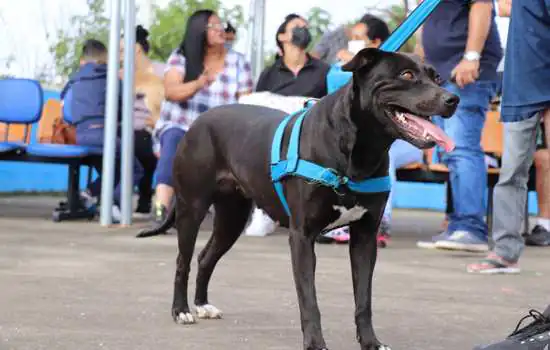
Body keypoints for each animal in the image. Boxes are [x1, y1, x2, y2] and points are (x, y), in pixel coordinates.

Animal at [139, 49, 462, 350]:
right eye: (406, 75)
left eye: (436, 77)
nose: (453, 99)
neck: (359, 149)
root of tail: (199, 120)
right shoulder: (302, 236)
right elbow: (309, 300)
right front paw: (316, 343)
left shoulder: (365, 237)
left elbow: (364, 300)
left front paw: (370, 342)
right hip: (192, 208)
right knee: (183, 261)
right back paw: (181, 310)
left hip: (232, 218)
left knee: (206, 257)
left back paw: (203, 305)